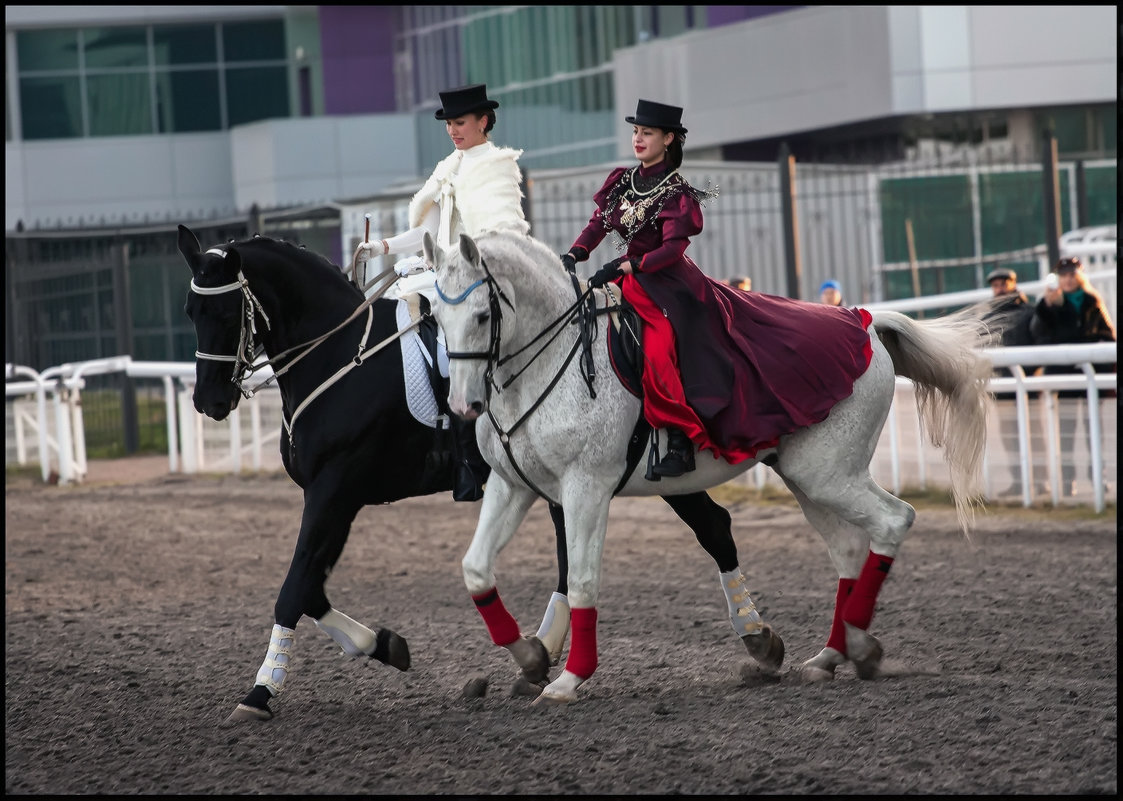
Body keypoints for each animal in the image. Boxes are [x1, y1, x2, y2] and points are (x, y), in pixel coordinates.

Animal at [177, 221, 772, 723]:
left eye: (225, 316)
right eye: (189, 312)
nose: (209, 401)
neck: (340, 358)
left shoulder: (335, 492)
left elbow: (295, 588)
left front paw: (261, 692)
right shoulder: (336, 498)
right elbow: (311, 590)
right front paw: (384, 646)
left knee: (712, 528)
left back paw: (755, 638)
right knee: (575, 562)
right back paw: (543, 657)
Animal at [422, 229, 992, 701]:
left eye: (481, 316)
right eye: (436, 319)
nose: (463, 405)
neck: (547, 360)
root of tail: (865, 323)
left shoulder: (586, 487)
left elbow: (582, 580)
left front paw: (568, 679)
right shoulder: (513, 486)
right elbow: (476, 569)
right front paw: (531, 655)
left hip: (832, 475)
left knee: (893, 521)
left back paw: (858, 642)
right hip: (811, 479)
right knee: (851, 550)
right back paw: (829, 656)